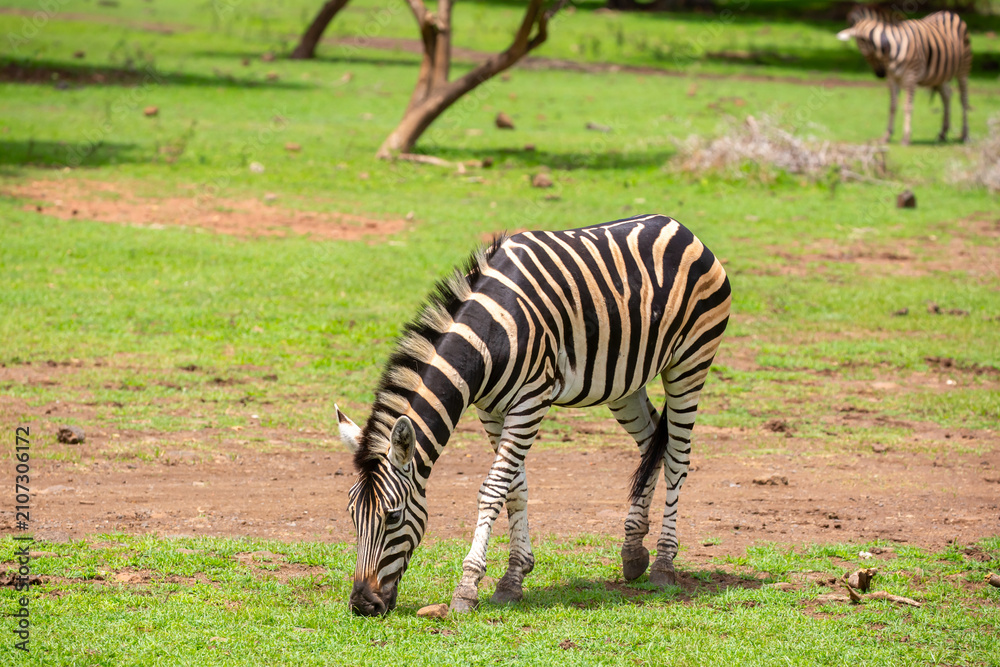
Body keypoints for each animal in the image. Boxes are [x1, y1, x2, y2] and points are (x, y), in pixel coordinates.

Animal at [338, 214, 731, 616]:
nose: (362, 604)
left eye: (393, 516)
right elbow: (516, 489)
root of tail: (676, 225)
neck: (487, 336)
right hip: (624, 381)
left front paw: (467, 587)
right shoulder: (491, 410)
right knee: (652, 442)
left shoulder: (530, 401)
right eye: (352, 515)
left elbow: (494, 489)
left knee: (677, 457)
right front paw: (514, 576)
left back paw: (665, 563)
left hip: (690, 363)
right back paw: (634, 552)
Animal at [837, 10, 972, 144]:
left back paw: (965, 135)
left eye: (860, 48)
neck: (890, 52)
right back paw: (943, 133)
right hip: (939, 74)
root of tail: (949, 12)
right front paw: (886, 136)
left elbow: (907, 106)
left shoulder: (910, 78)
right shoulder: (892, 79)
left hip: (963, 69)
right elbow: (892, 106)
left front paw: (906, 137)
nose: (880, 74)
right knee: (947, 95)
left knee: (963, 99)